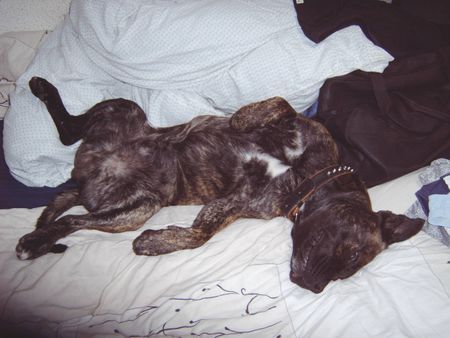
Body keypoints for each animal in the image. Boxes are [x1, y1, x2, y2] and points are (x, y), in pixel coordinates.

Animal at [14, 77, 424, 294]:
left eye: (345, 272)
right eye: (350, 254)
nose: (311, 287)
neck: (307, 177)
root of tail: (83, 176)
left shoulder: (234, 203)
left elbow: (199, 235)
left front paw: (155, 243)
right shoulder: (300, 126)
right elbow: (280, 105)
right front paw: (236, 120)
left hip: (139, 206)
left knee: (72, 214)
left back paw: (38, 240)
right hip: (125, 109)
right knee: (68, 137)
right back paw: (44, 89)